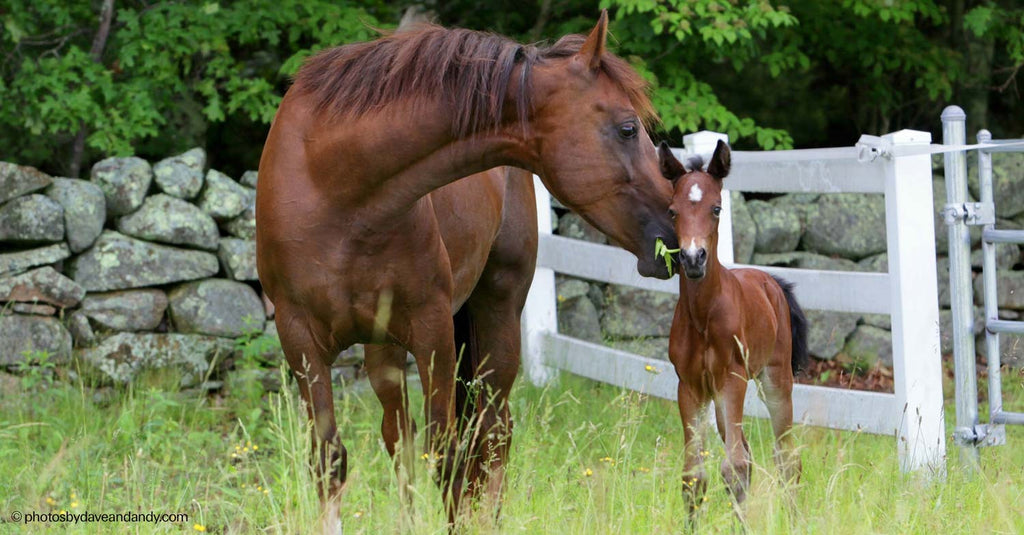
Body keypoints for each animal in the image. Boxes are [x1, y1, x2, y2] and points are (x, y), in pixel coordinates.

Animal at [253, 12, 679, 528]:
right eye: (627, 129)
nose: (677, 231)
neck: (335, 185)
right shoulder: (299, 339)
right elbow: (331, 459)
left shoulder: (432, 330)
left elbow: (447, 456)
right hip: (383, 349)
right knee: (401, 436)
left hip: (496, 313)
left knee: (492, 432)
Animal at [655, 140, 806, 508]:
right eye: (672, 211)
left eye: (717, 209)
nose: (693, 258)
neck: (703, 318)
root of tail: (771, 282)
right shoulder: (690, 387)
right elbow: (694, 475)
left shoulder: (731, 379)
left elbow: (733, 466)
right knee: (750, 454)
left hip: (775, 380)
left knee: (786, 457)